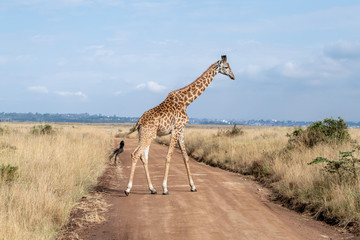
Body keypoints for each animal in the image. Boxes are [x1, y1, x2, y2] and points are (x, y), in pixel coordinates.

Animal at [125, 55, 235, 196]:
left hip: (144, 135)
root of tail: (139, 121)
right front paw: (165, 188)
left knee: (144, 157)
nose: (233, 76)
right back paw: (128, 189)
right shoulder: (176, 129)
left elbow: (185, 157)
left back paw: (152, 189)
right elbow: (169, 156)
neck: (186, 102)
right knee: (135, 154)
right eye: (226, 67)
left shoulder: (181, 130)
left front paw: (193, 186)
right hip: (148, 135)